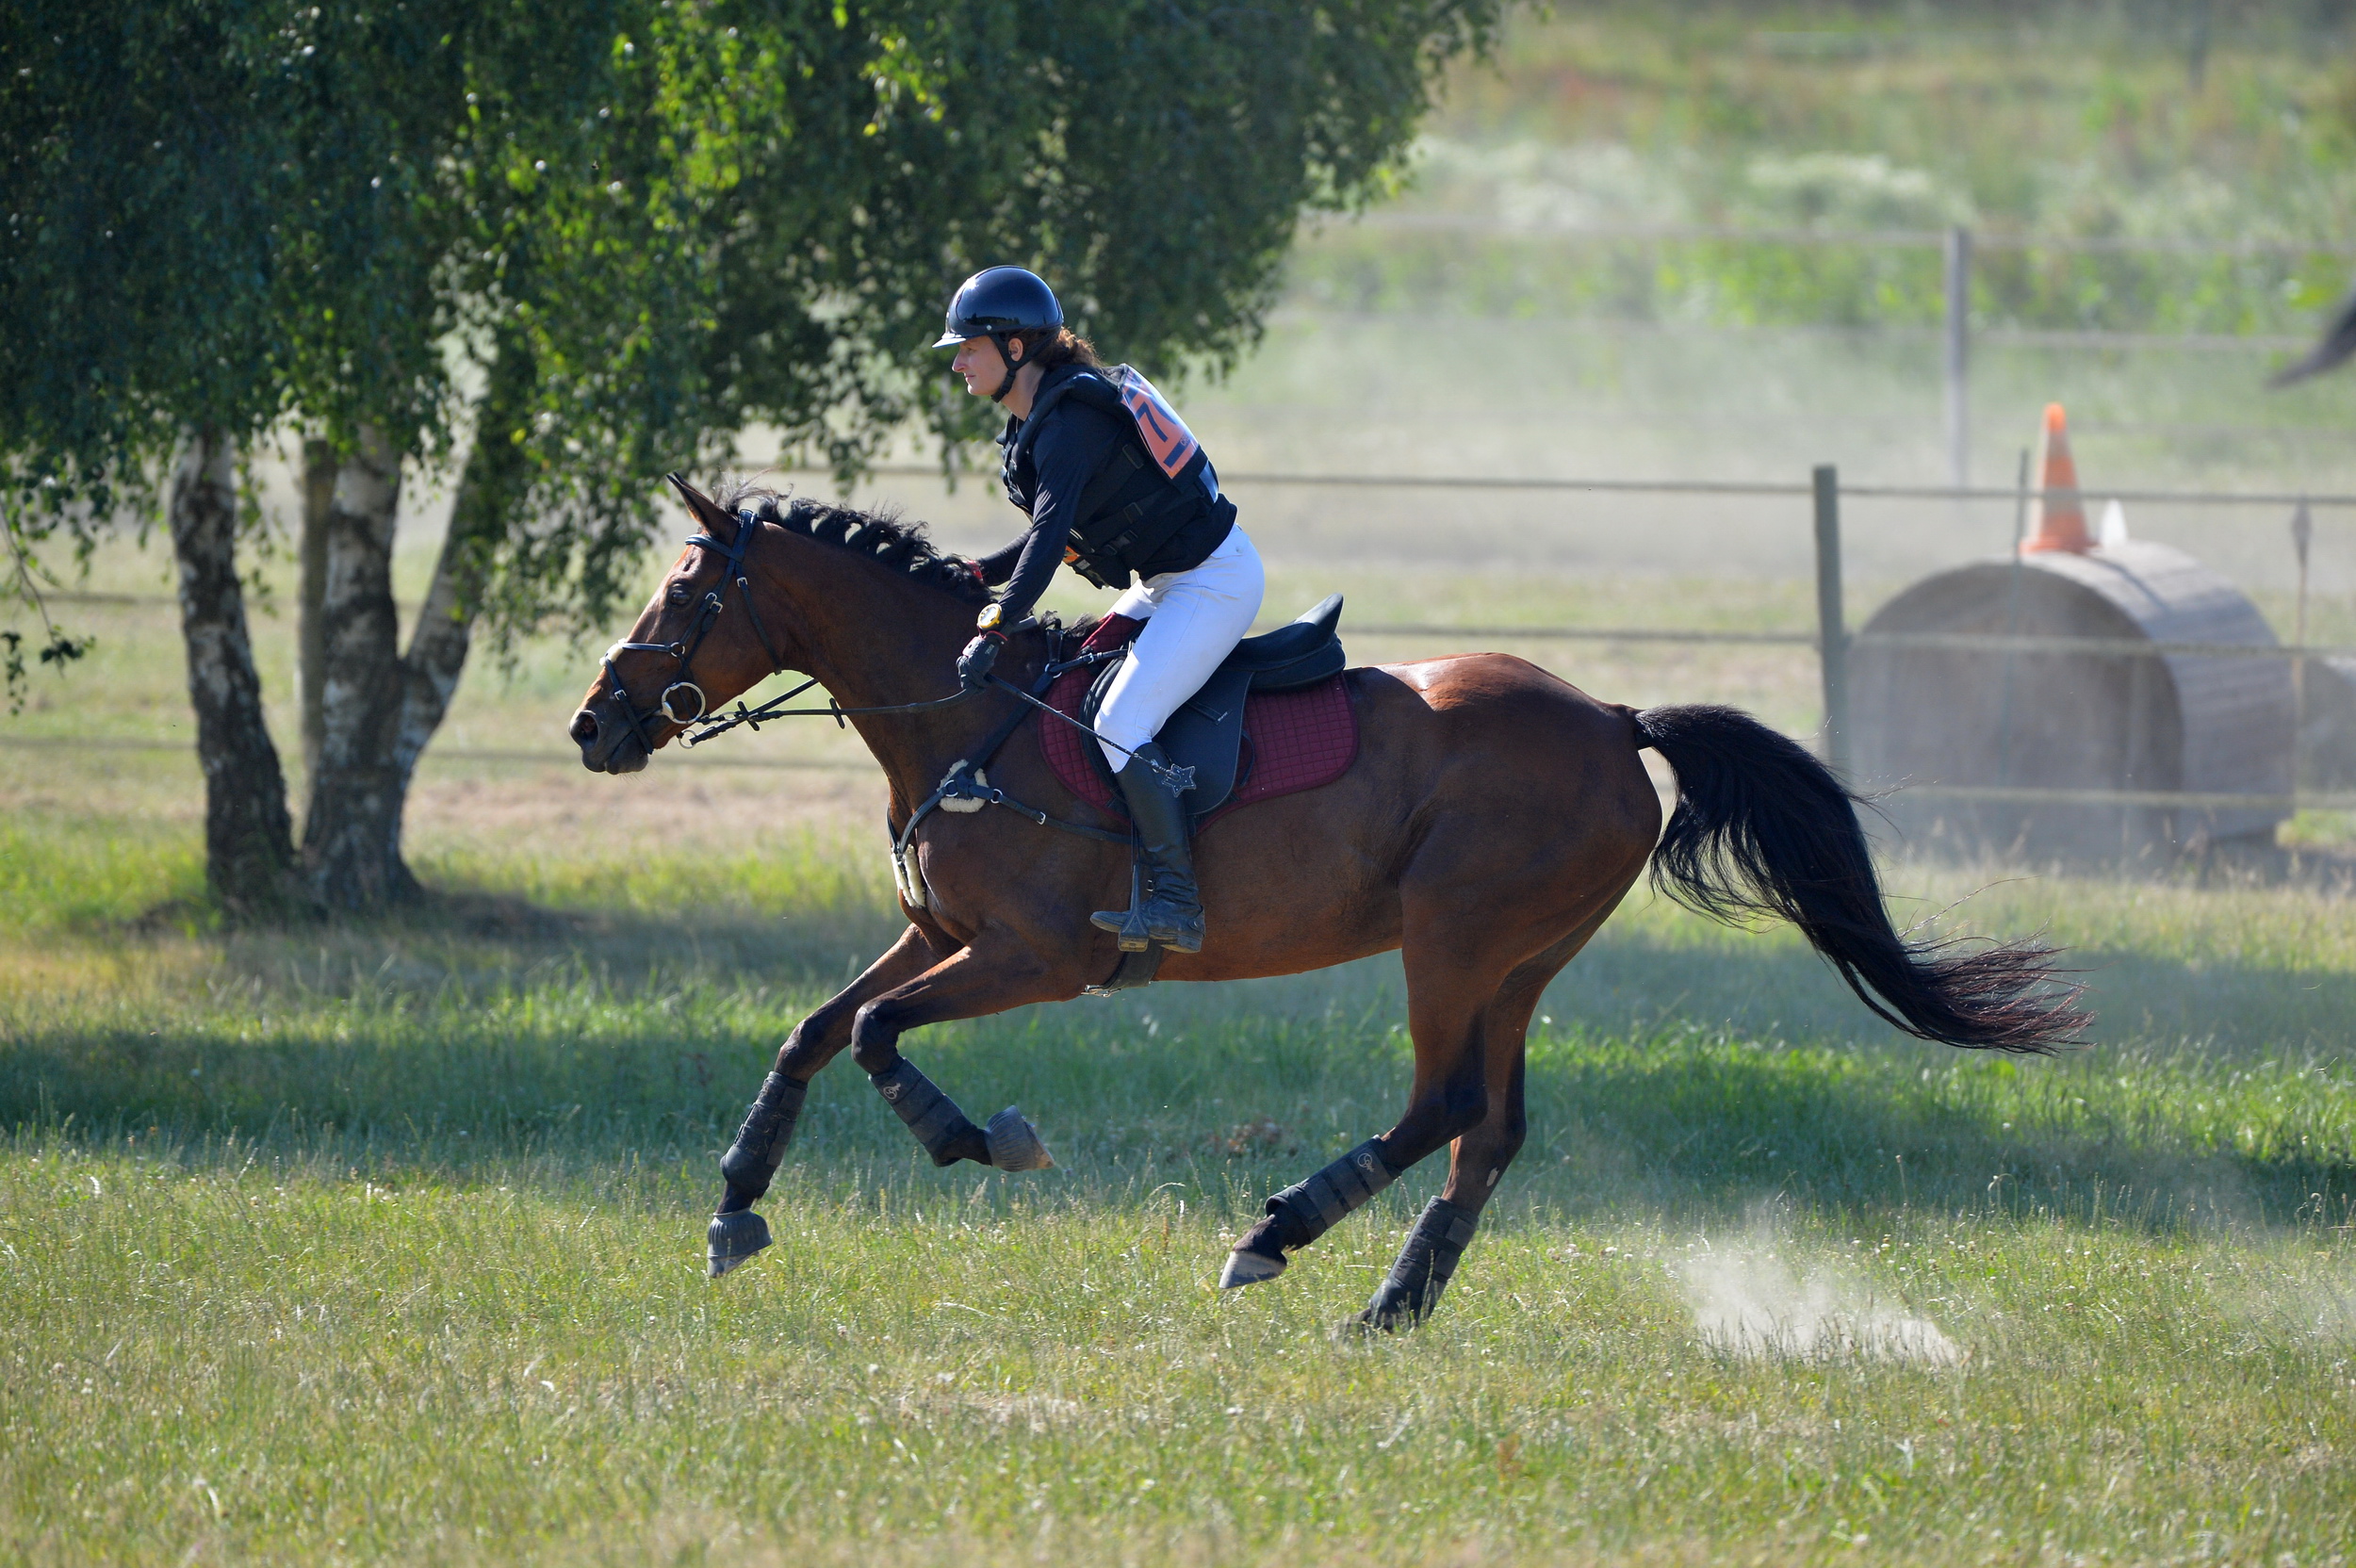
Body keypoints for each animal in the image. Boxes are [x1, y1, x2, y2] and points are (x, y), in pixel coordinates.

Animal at [570, 473, 2083, 1318]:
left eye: (684, 594)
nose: (594, 727)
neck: (963, 709)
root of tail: (1611, 717)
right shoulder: (937, 936)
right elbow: (815, 1033)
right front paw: (734, 1208)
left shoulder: (1031, 957)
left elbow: (881, 1039)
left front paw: (981, 1139)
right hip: (1518, 961)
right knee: (1492, 1128)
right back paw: (1392, 1304)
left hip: (1454, 939)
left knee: (1446, 1104)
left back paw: (1275, 1234)